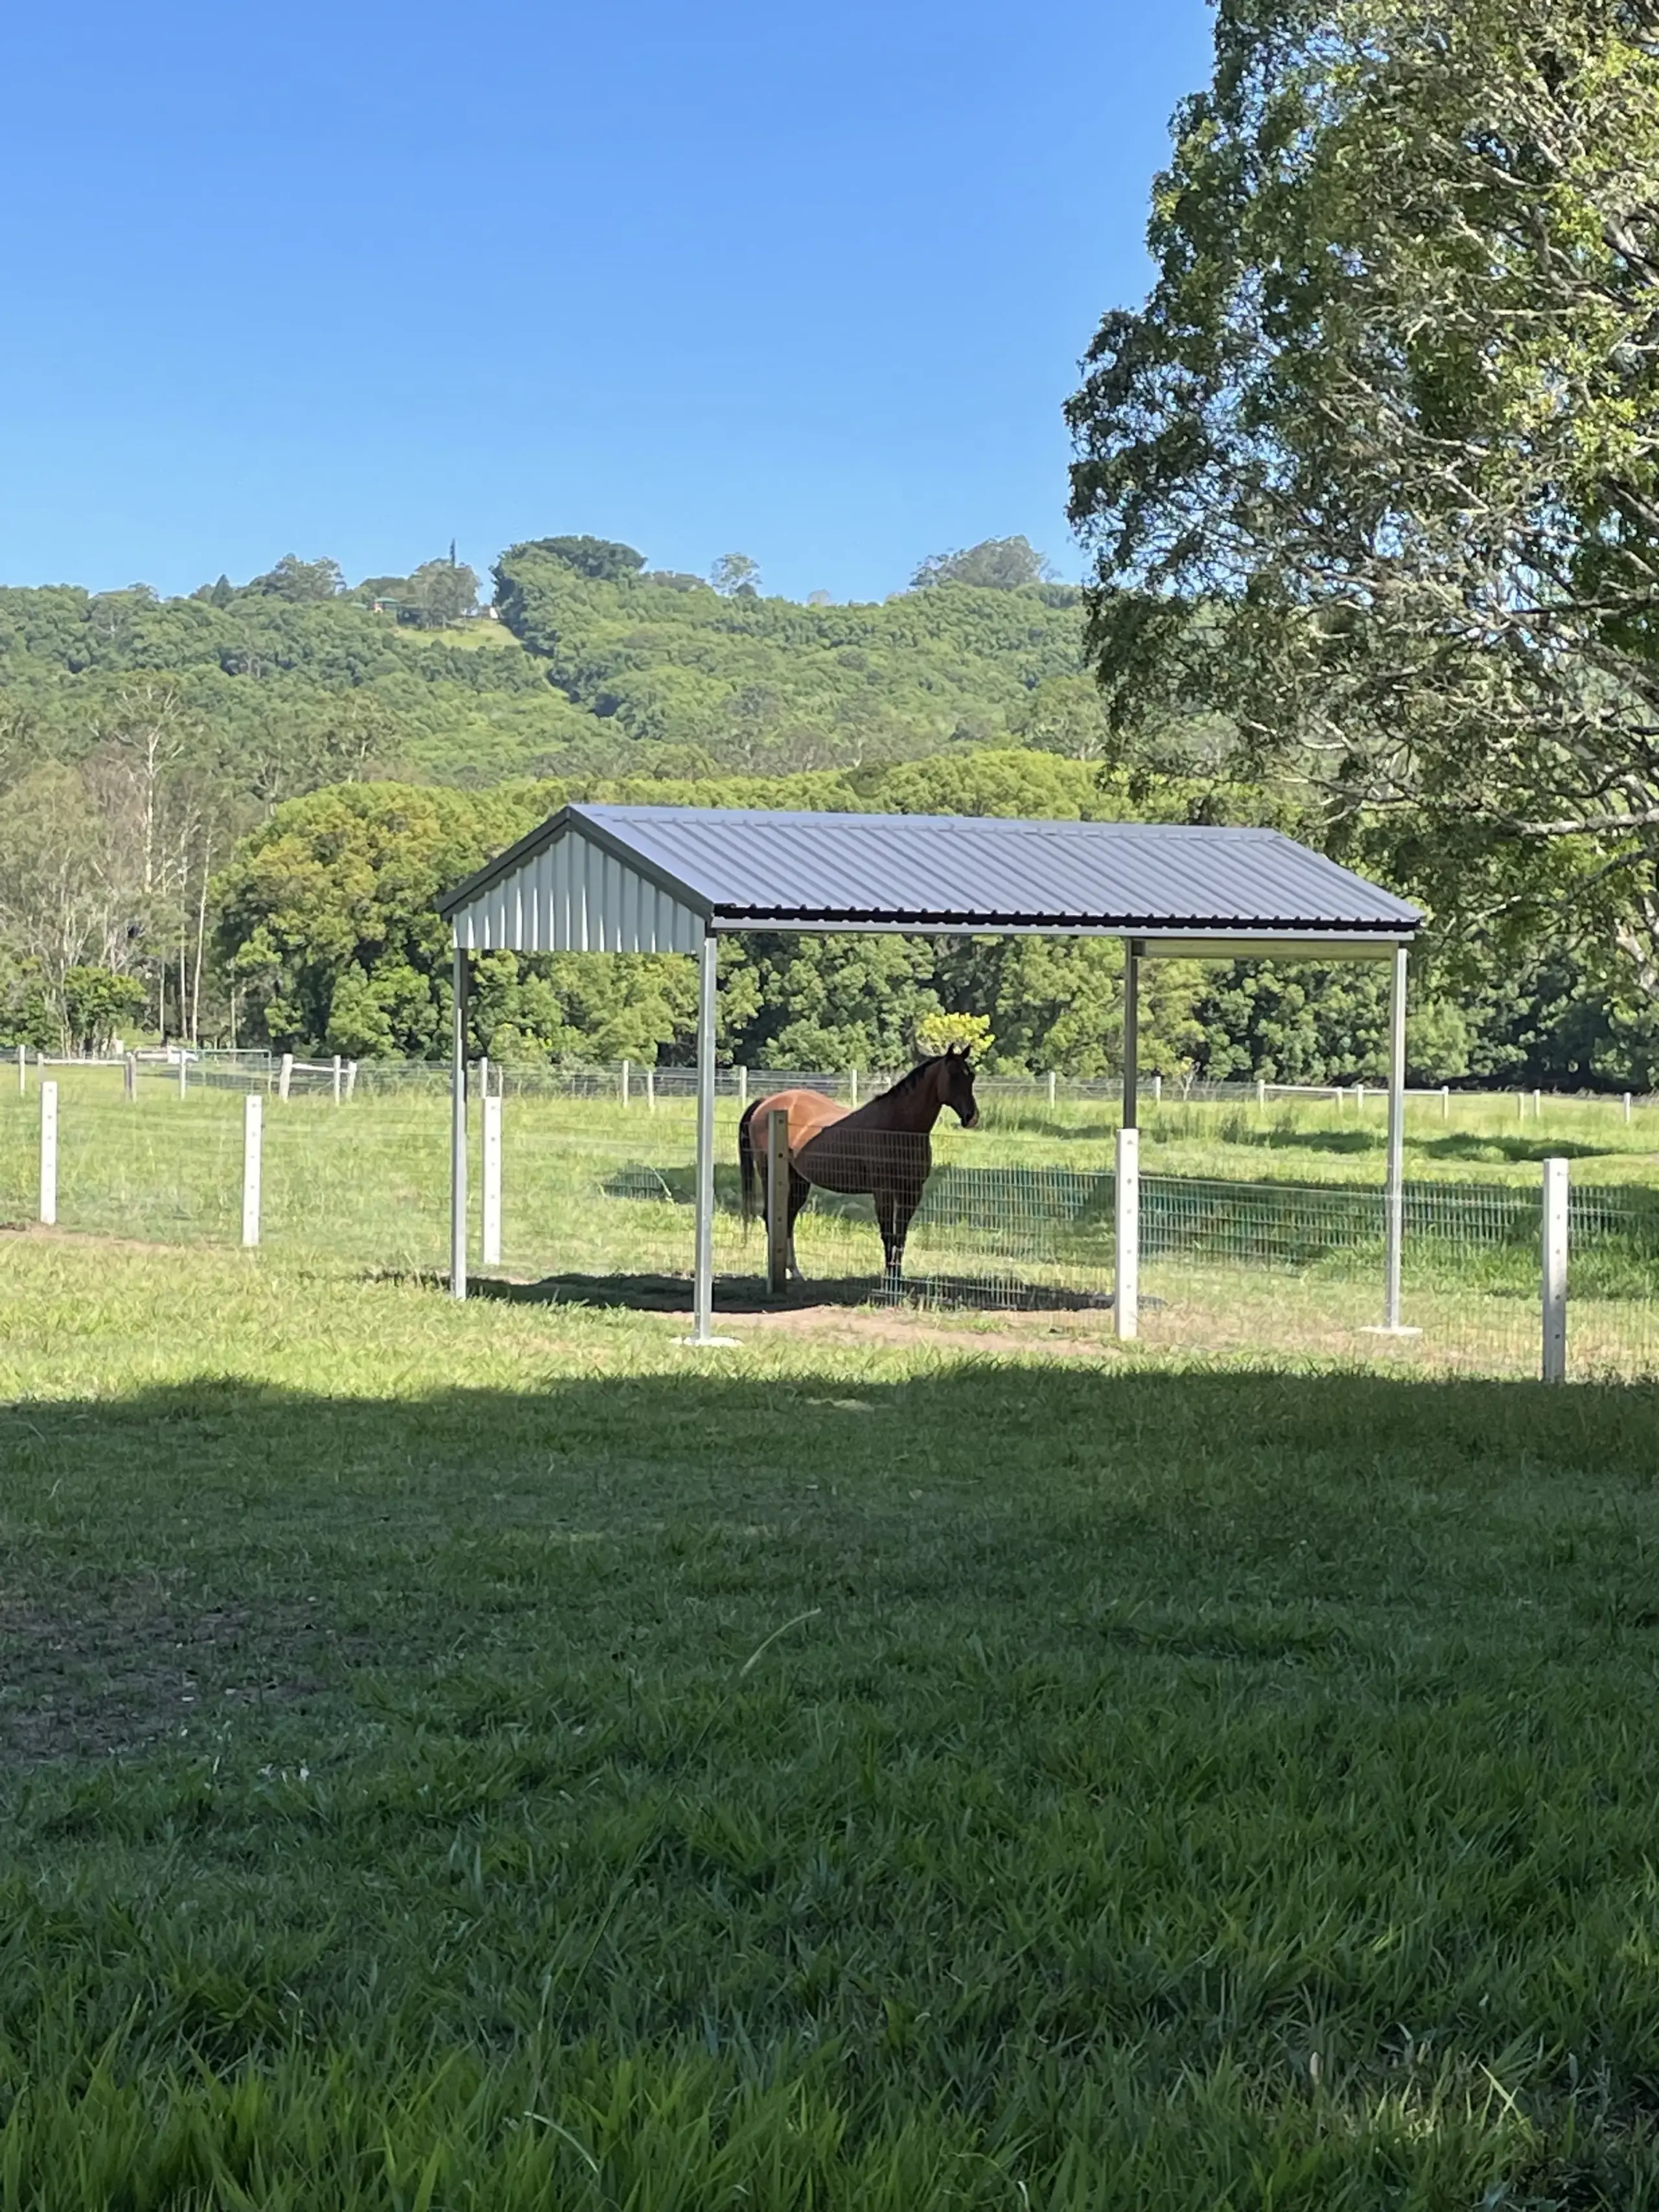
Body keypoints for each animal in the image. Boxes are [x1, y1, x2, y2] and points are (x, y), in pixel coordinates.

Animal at [737, 1048, 980, 1293]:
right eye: (953, 1076)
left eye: (971, 1076)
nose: (972, 1117)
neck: (898, 1128)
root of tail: (766, 1103)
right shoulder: (883, 1192)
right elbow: (888, 1234)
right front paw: (888, 1282)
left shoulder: (911, 1192)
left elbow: (900, 1236)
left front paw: (897, 1281)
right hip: (770, 1174)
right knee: (771, 1218)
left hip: (798, 1182)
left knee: (787, 1220)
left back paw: (794, 1272)